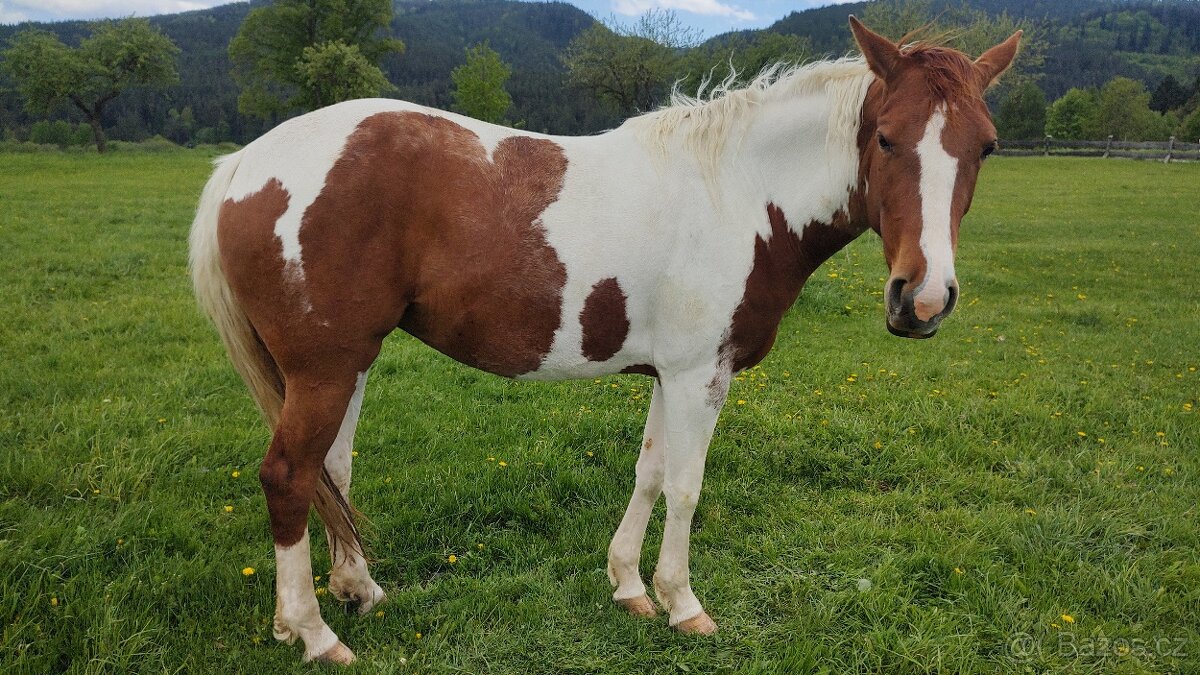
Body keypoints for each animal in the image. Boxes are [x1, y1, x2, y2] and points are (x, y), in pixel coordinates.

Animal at [189, 17, 1020, 664]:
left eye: (984, 147)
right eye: (885, 137)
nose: (923, 299)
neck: (739, 193)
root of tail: (246, 161)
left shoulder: (669, 372)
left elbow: (648, 474)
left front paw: (629, 586)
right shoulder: (700, 375)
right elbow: (686, 485)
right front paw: (684, 603)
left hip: (344, 365)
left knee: (332, 470)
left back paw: (354, 591)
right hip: (323, 368)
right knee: (290, 477)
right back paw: (312, 631)